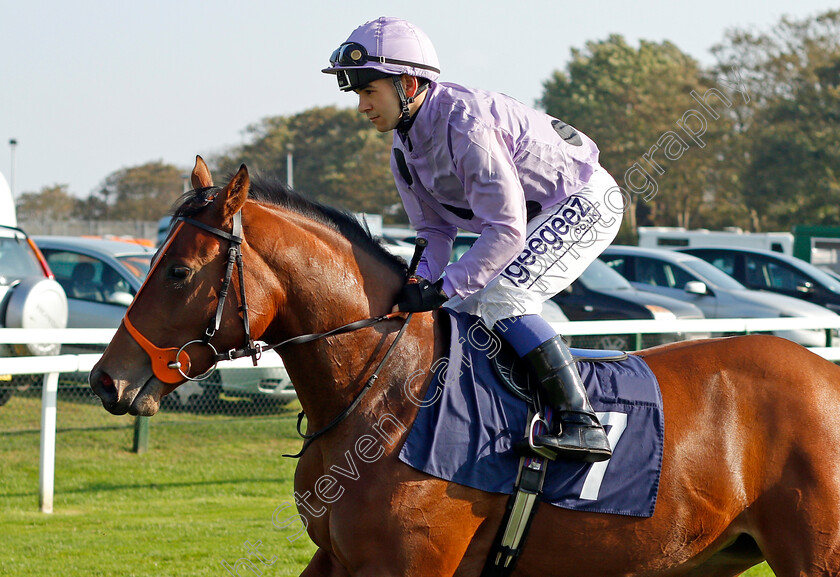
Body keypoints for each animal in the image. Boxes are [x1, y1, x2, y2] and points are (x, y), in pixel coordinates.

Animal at [87, 158, 840, 576]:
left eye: (179, 272)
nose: (105, 379)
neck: (384, 392)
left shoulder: (409, 563)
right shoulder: (338, 557)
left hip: (815, 554)